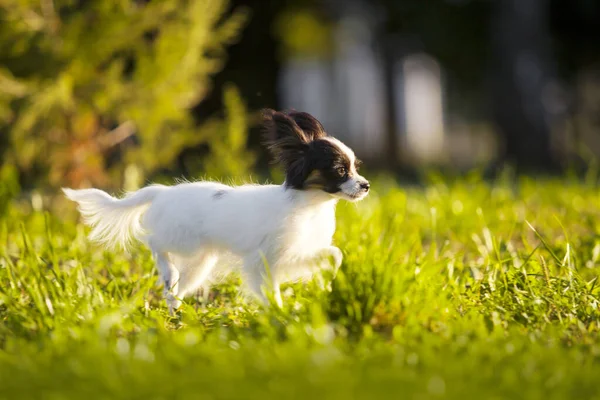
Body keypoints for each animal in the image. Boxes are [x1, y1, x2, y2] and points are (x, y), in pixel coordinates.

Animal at [63, 109, 368, 312]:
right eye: (340, 170)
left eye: (356, 167)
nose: (365, 186)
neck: (309, 205)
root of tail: (162, 192)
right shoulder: (262, 261)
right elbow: (270, 291)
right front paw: (279, 315)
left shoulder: (295, 253)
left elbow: (334, 254)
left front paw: (327, 282)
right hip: (183, 242)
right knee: (155, 244)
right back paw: (168, 274)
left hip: (200, 262)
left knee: (176, 288)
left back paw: (173, 306)